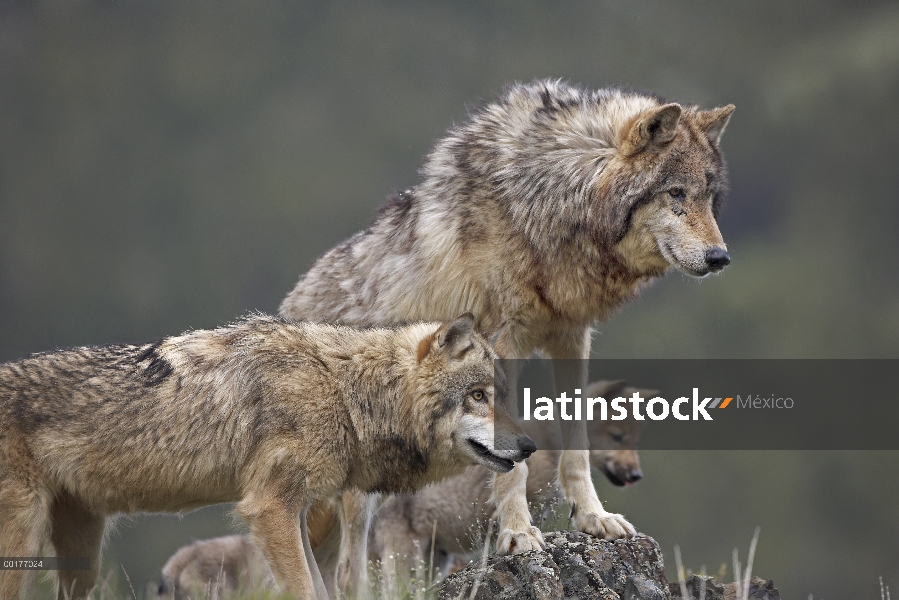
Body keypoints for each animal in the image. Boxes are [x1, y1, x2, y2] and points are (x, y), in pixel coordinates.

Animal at [0, 312, 536, 596]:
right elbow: (306, 589)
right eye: (478, 396)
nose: (530, 446)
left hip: (83, 556)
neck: (342, 390)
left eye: (505, 397)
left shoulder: (293, 510)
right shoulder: (269, 508)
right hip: (24, 543)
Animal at [284, 78, 740, 596]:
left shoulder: (572, 337)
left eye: (708, 197)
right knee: (347, 570)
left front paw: (594, 519)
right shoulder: (504, 343)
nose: (720, 257)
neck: (555, 198)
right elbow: (513, 461)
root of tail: (288, 307)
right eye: (675, 193)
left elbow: (576, 444)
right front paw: (519, 535)